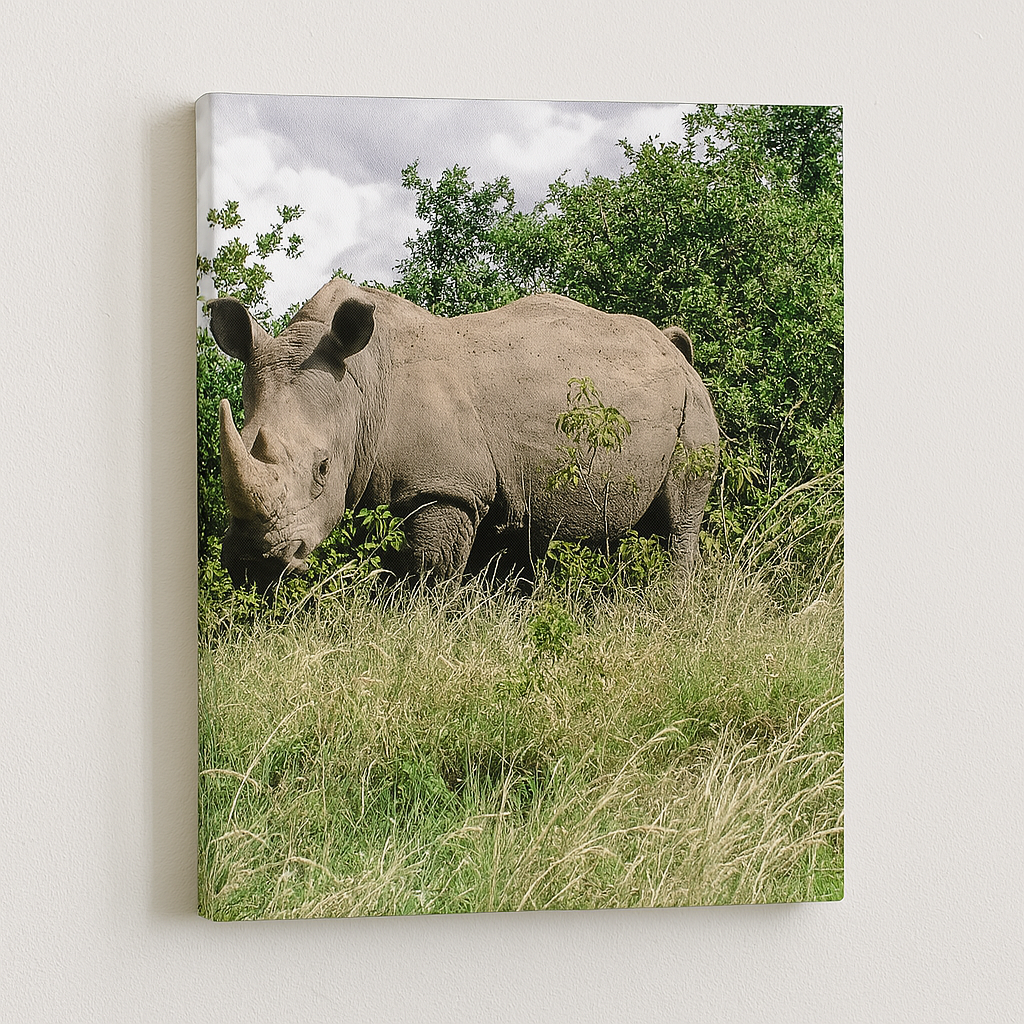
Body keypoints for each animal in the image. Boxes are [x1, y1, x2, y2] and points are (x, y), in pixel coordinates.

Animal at [209, 278, 719, 590]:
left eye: (321, 469)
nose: (256, 560)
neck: (361, 380)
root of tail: (675, 348)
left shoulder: (445, 486)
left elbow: (430, 572)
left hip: (693, 405)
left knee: (679, 519)